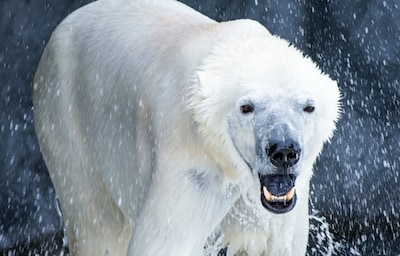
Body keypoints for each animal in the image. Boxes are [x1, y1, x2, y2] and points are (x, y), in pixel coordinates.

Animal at [34, 0, 340, 255]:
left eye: (308, 106)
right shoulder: (190, 164)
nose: (284, 151)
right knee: (97, 223)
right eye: (247, 107)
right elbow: (165, 242)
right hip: (65, 113)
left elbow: (274, 240)